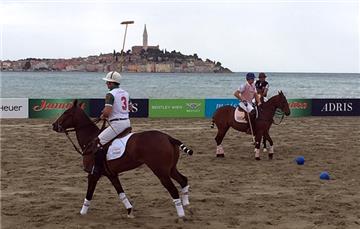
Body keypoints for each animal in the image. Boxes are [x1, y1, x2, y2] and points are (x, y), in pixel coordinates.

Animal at [51, 100, 194, 218]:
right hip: (171, 168)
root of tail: (169, 137)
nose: (54, 125)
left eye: (66, 112)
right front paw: (130, 211)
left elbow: (89, 194)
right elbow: (120, 192)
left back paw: (181, 215)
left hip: (161, 171)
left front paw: (82, 213)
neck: (90, 139)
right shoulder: (111, 174)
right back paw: (187, 205)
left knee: (173, 189)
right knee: (183, 180)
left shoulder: (93, 174)